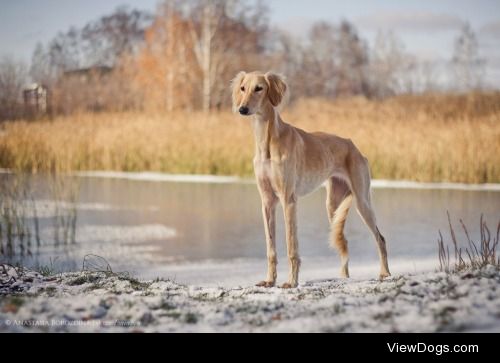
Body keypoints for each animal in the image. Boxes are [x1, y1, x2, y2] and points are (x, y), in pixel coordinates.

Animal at [230, 69, 390, 288]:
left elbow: (291, 245)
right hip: (332, 205)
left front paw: (292, 282)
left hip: (362, 202)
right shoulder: (267, 202)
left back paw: (385, 273)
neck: (267, 141)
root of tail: (354, 146)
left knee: (380, 238)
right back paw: (344, 276)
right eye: (243, 88)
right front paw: (270, 280)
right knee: (344, 241)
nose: (242, 109)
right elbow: (270, 247)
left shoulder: (288, 200)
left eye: (259, 88)